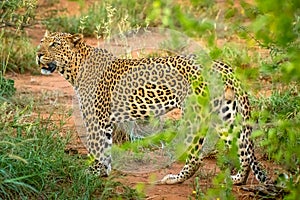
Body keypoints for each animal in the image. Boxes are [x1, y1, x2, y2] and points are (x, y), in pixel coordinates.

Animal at [36, 31, 268, 186]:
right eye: (41, 42)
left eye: (54, 44)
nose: (38, 54)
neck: (75, 69)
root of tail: (221, 65)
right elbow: (106, 146)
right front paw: (104, 171)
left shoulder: (96, 118)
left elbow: (97, 146)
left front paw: (93, 171)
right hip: (225, 114)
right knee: (244, 150)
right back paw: (238, 179)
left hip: (194, 114)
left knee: (196, 157)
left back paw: (175, 179)